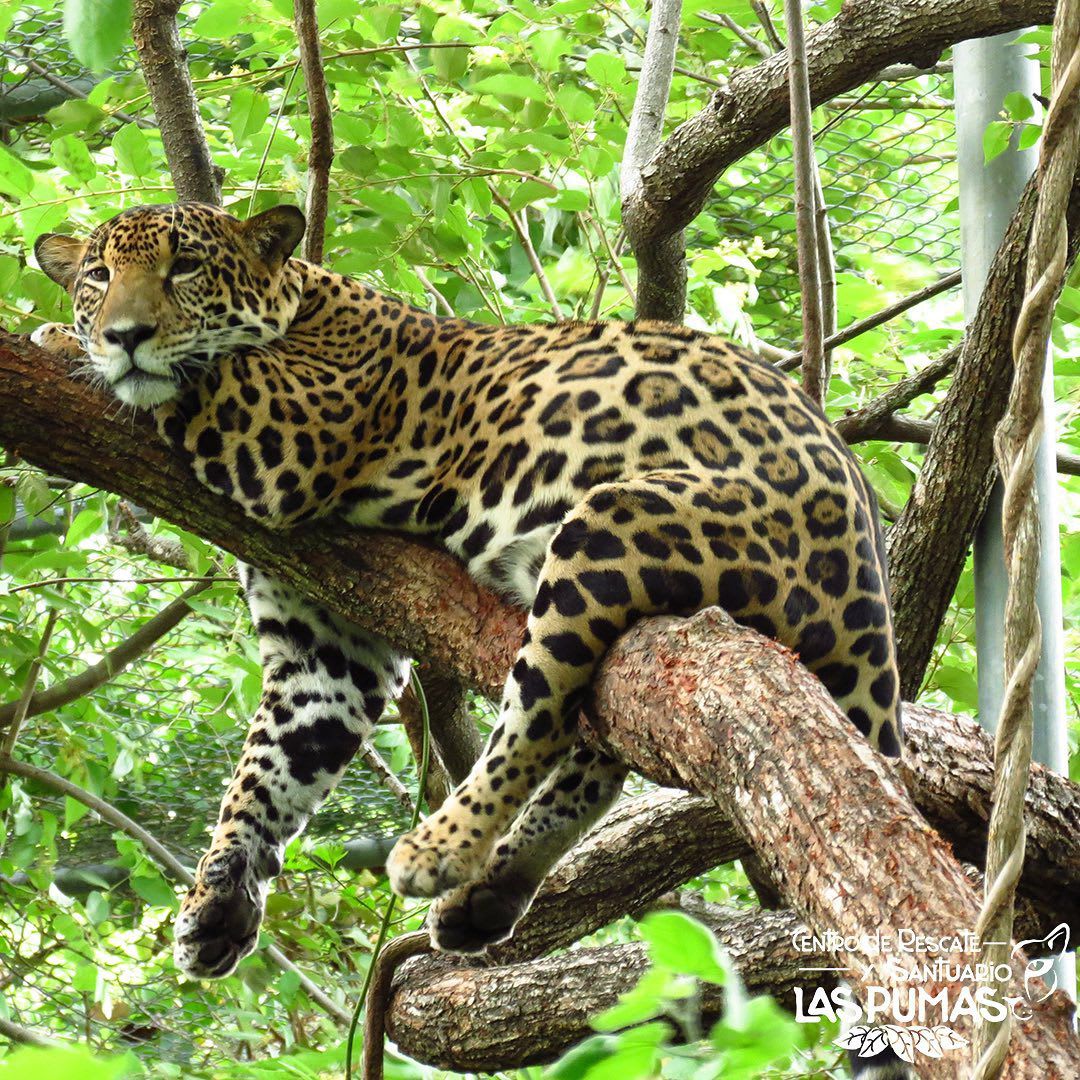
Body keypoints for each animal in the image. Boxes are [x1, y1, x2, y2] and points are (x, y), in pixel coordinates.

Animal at [32, 201, 903, 984]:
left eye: (184, 267)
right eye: (98, 275)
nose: (123, 334)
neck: (307, 306)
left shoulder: (289, 431)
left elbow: (200, 372)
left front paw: (57, 340)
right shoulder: (324, 648)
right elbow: (267, 773)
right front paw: (217, 900)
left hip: (615, 522)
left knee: (539, 717)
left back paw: (443, 849)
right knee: (601, 748)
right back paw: (490, 892)